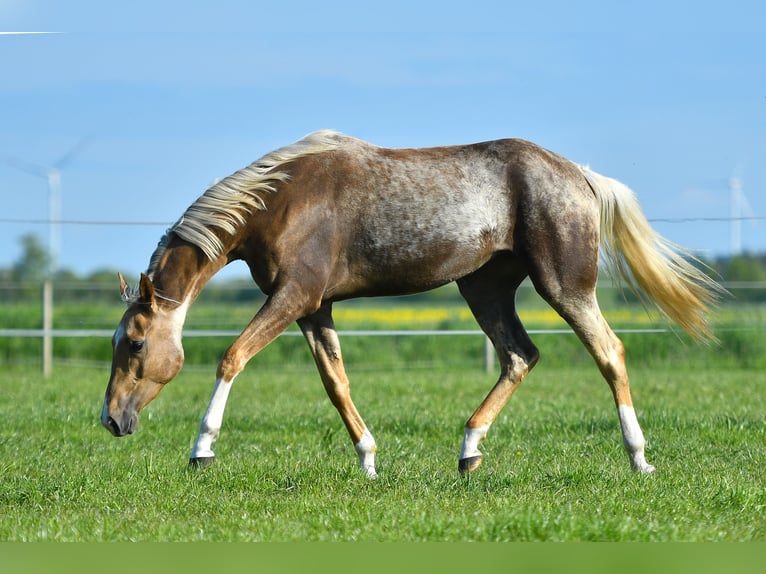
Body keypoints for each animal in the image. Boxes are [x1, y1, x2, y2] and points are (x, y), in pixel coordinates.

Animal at [99, 129, 724, 476]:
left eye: (135, 343)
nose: (111, 420)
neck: (281, 201)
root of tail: (583, 177)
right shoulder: (313, 308)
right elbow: (336, 383)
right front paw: (369, 460)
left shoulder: (292, 296)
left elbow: (232, 356)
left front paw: (202, 448)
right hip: (484, 288)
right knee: (519, 357)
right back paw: (468, 451)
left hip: (565, 286)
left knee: (609, 352)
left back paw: (638, 457)